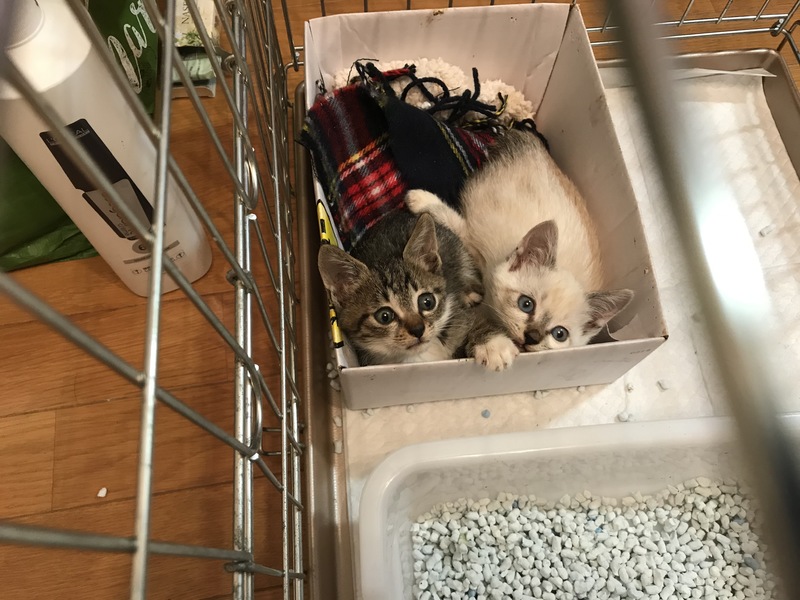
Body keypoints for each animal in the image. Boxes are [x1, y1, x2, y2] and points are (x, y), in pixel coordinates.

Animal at [406, 129, 633, 370]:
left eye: (559, 334)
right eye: (526, 304)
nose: (532, 337)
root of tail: (537, 146)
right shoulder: (479, 253)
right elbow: (458, 227)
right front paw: (419, 199)